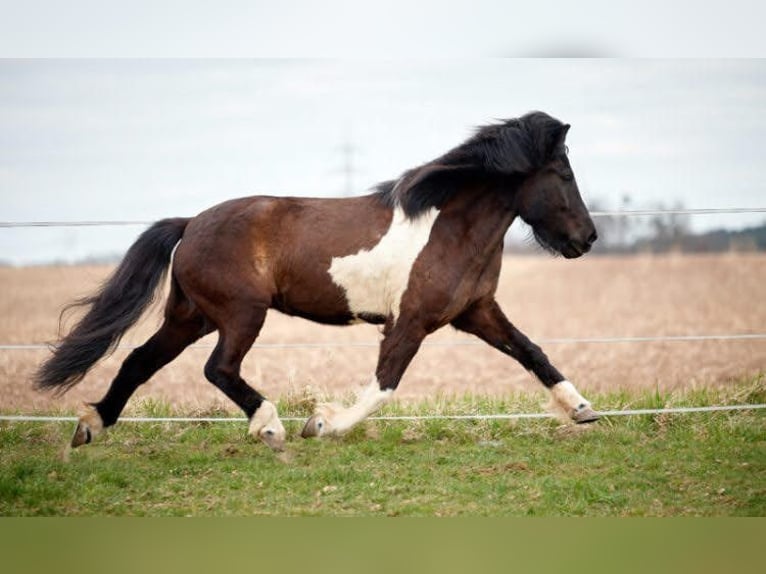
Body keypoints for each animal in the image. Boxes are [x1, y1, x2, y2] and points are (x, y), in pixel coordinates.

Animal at [35, 111, 599, 452]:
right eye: (565, 176)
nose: (588, 238)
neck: (448, 227)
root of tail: (191, 223)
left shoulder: (476, 312)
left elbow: (532, 353)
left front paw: (583, 411)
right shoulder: (410, 321)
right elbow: (384, 385)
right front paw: (322, 423)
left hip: (191, 316)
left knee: (138, 360)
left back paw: (90, 426)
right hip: (241, 313)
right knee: (218, 369)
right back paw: (271, 425)